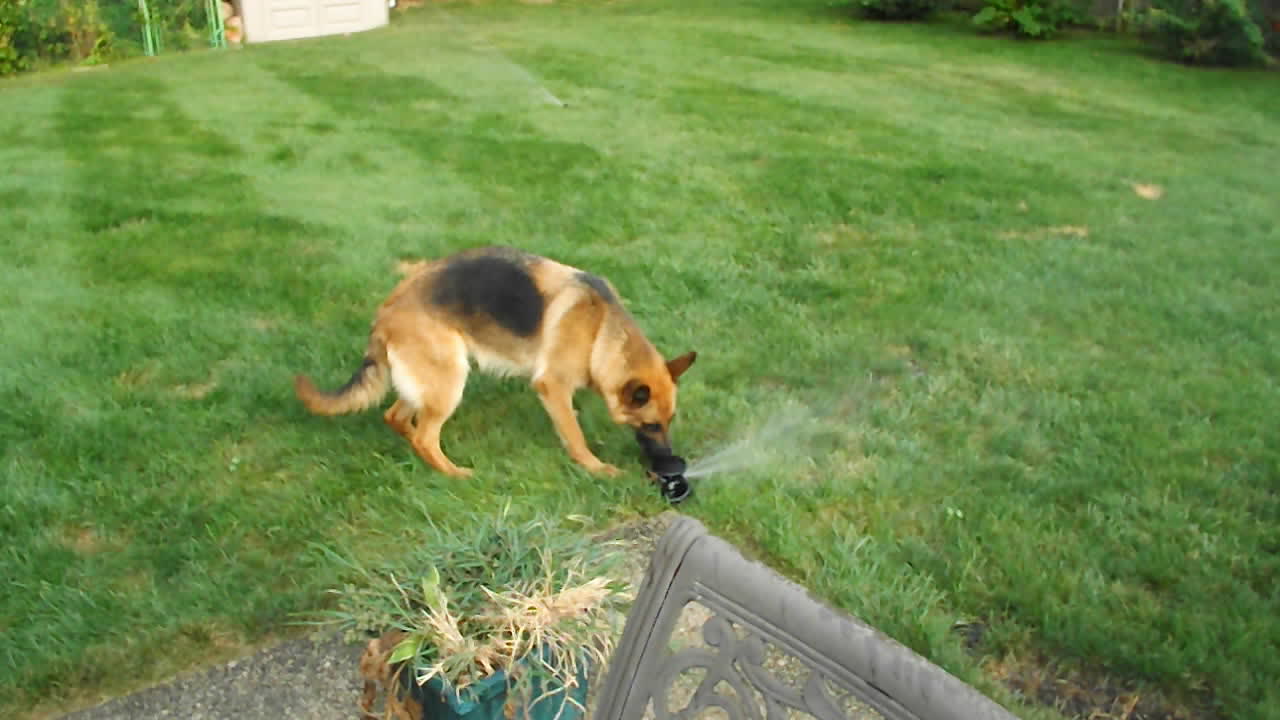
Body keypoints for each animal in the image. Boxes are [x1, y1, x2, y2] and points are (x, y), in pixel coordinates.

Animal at [293, 245, 696, 476]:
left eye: (669, 421)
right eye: (651, 425)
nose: (671, 461)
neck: (601, 331)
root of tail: (386, 311)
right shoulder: (553, 386)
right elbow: (575, 434)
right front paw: (596, 468)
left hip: (427, 379)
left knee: (398, 417)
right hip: (450, 377)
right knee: (425, 435)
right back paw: (453, 474)